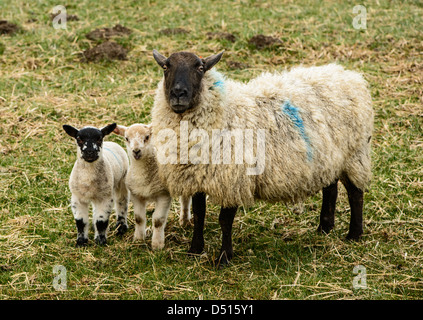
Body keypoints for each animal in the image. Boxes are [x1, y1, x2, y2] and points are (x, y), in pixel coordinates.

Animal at [113, 122, 191, 250]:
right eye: (126, 138)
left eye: (147, 137)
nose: (136, 151)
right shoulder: (136, 194)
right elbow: (139, 218)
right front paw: (138, 239)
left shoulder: (163, 195)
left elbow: (158, 221)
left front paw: (157, 244)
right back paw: (184, 221)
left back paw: (185, 221)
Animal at [152, 49, 374, 264]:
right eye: (166, 67)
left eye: (199, 68)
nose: (178, 93)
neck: (226, 111)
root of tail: (348, 75)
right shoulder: (199, 176)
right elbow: (200, 215)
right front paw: (195, 251)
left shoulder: (234, 180)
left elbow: (225, 221)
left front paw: (224, 258)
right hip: (328, 157)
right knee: (331, 188)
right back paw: (324, 228)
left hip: (354, 155)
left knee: (355, 193)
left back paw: (354, 235)